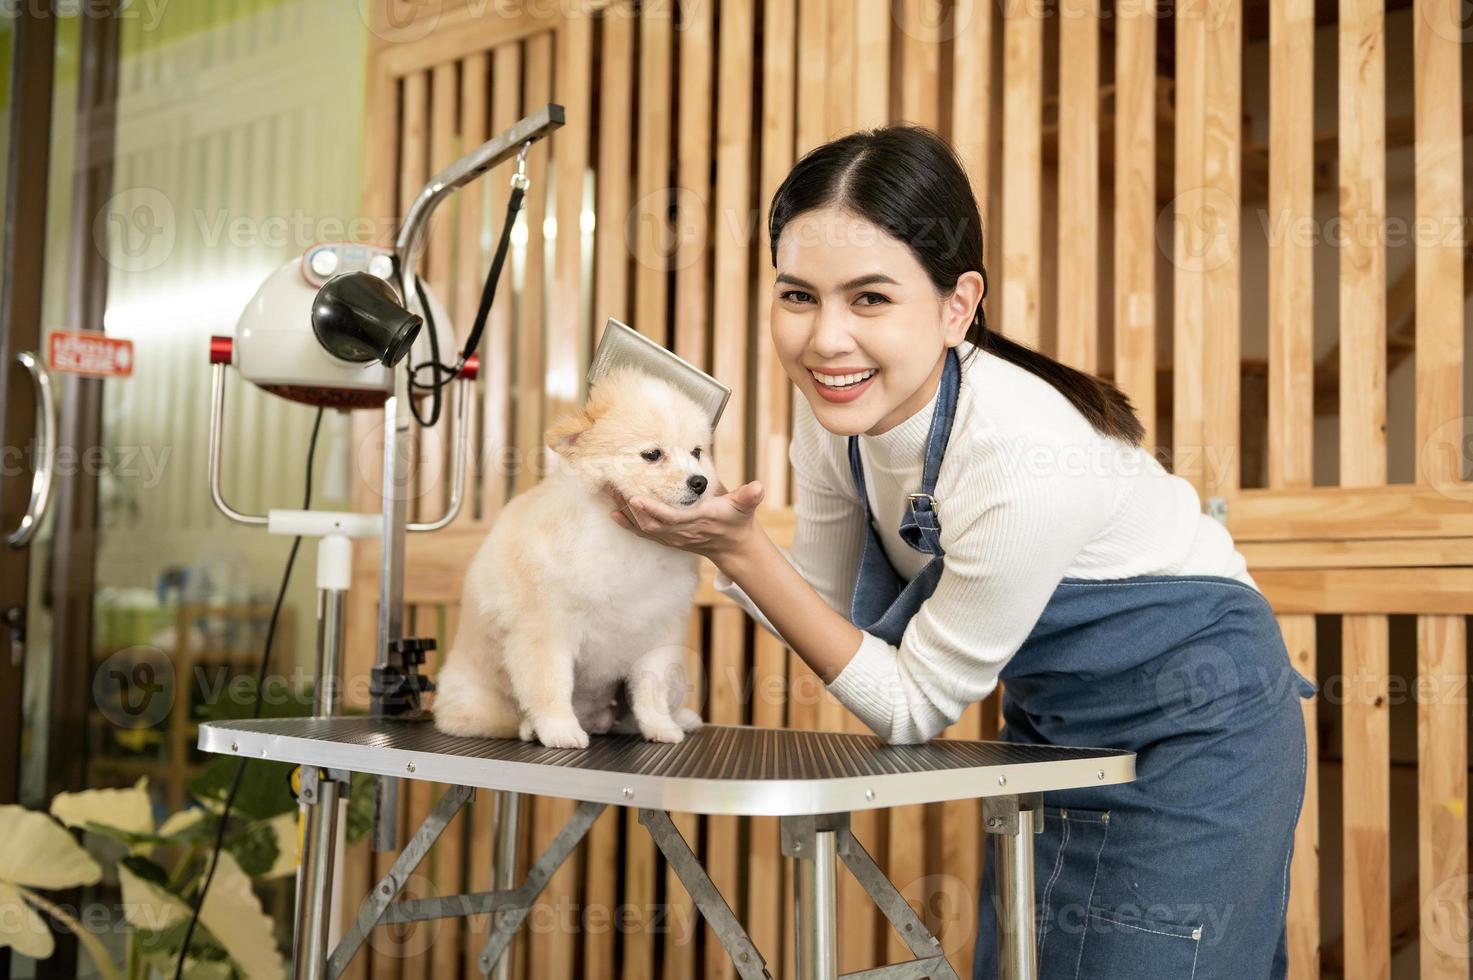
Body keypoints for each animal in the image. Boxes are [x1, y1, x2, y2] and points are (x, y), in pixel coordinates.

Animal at [430, 366, 715, 748]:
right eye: (653, 455)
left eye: (697, 452)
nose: (699, 482)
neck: (627, 540)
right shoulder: (546, 630)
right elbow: (550, 687)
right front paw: (559, 729)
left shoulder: (658, 632)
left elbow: (651, 690)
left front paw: (660, 727)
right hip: (477, 702)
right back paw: (529, 727)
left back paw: (679, 718)